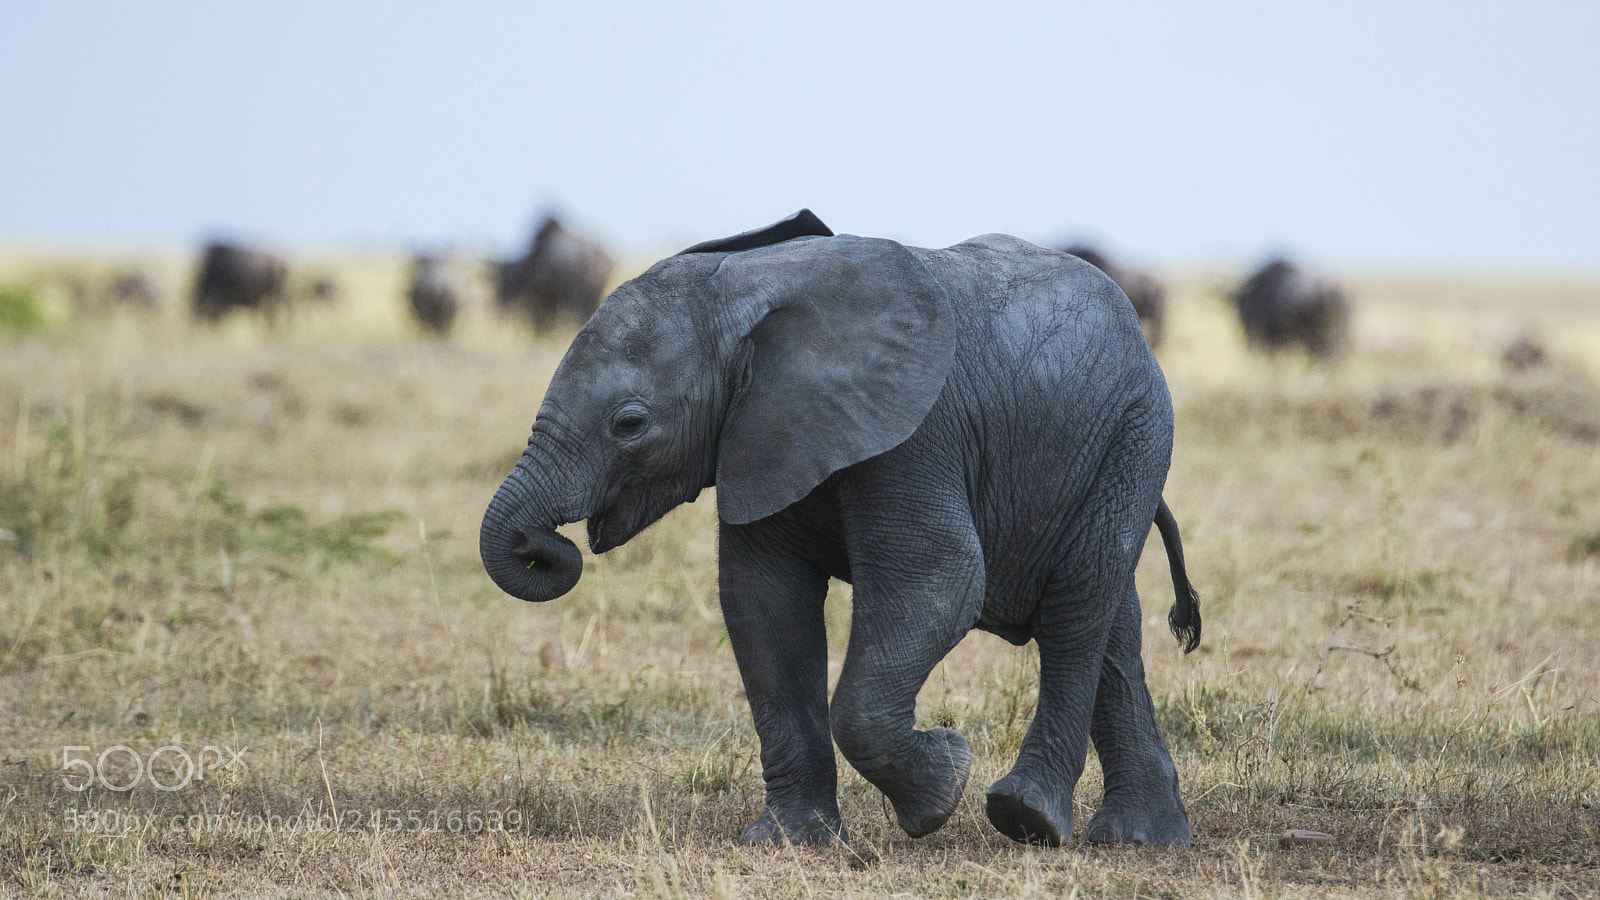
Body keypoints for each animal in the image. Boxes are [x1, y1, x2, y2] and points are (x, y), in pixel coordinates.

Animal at [480, 210, 1202, 848]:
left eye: (629, 424)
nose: (545, 544)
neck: (749, 295)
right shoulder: (759, 436)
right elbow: (763, 606)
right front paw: (786, 841)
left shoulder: (916, 434)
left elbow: (941, 583)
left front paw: (945, 778)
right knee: (1111, 621)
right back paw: (1140, 839)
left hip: (1135, 432)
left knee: (1077, 603)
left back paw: (1029, 819)